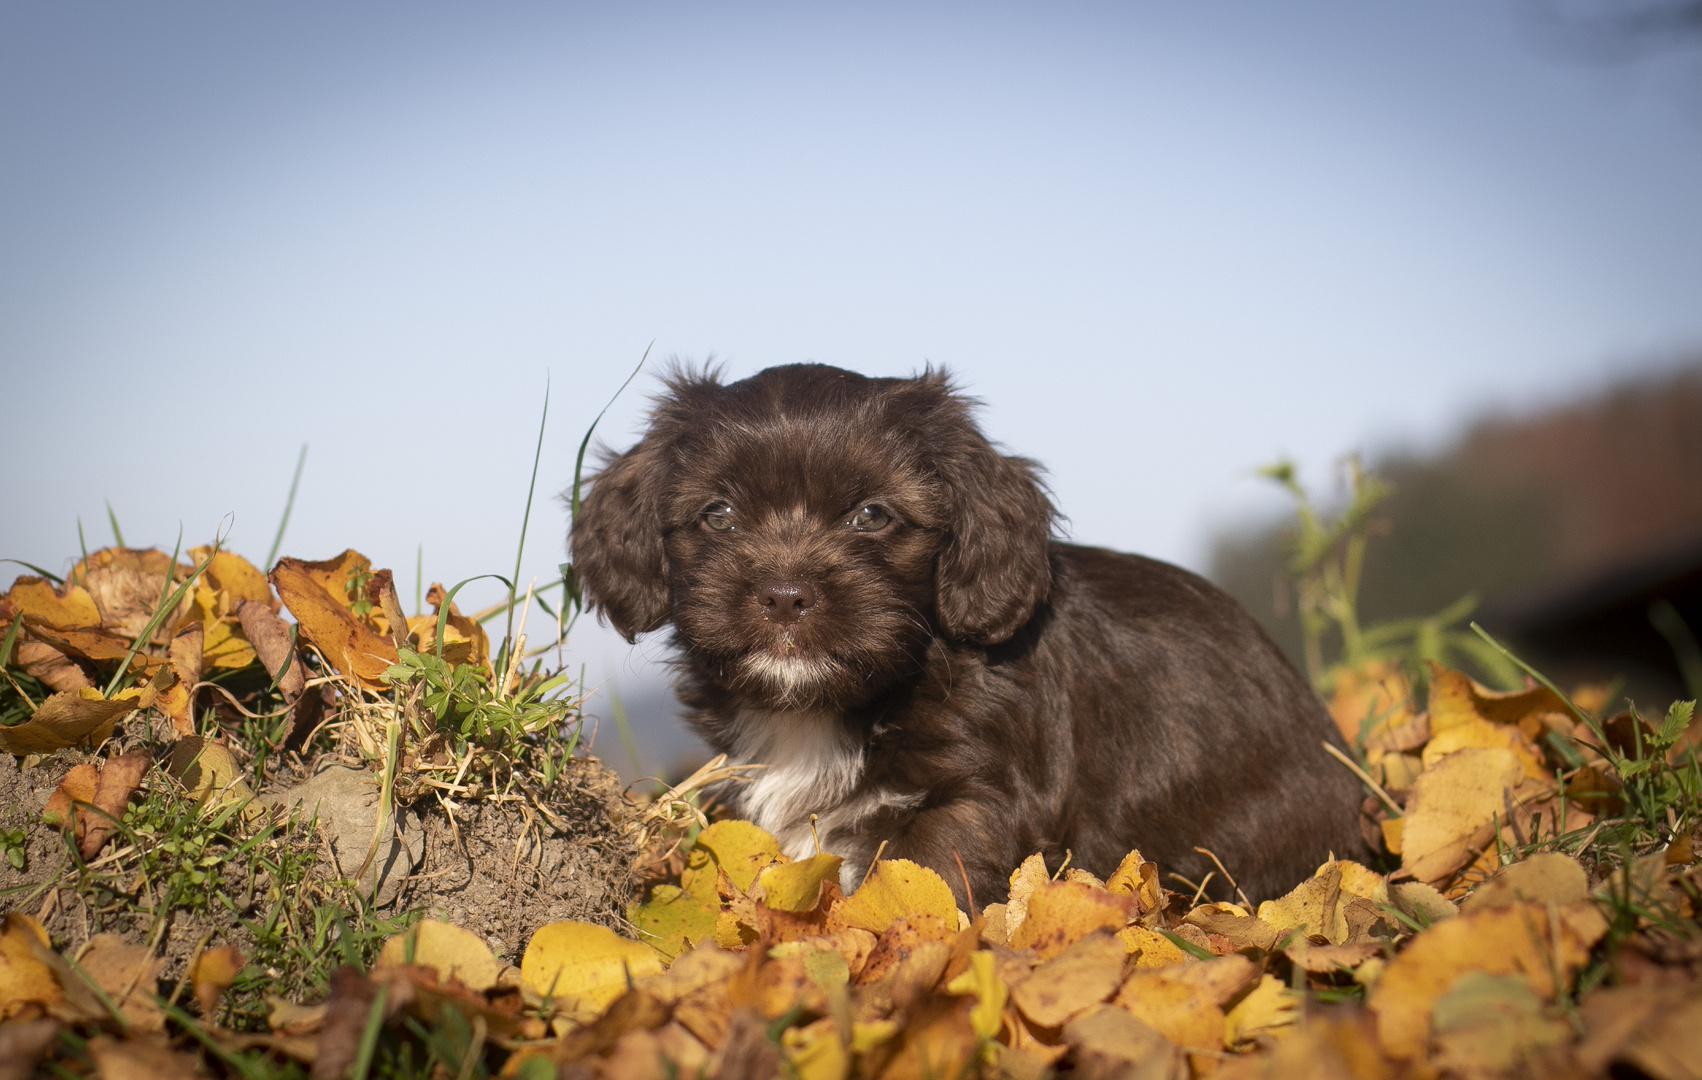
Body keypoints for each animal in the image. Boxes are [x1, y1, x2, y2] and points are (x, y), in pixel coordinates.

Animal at [571, 367, 1368, 911]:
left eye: (872, 515)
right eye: (719, 515)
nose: (785, 595)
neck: (824, 710)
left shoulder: (975, 800)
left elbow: (918, 878)